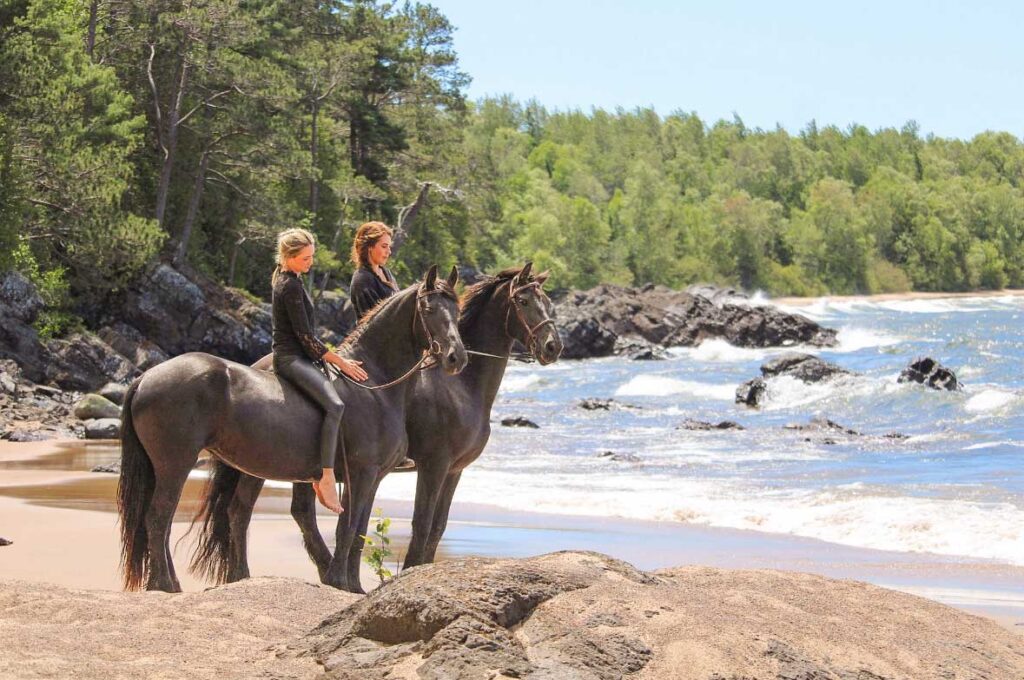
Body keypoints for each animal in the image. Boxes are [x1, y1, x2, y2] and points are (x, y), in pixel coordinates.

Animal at [116, 262, 464, 593]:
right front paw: (337, 580)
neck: (374, 385)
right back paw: (165, 583)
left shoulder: (374, 477)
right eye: (429, 309)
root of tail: (146, 377)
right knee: (159, 516)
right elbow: (347, 527)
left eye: (457, 310)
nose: (455, 357)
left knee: (221, 515)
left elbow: (360, 530)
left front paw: (353, 585)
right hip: (175, 463)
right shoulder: (362, 473)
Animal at [188, 262, 565, 585]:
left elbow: (437, 526)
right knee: (246, 512)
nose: (553, 347)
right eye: (524, 301)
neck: (461, 386)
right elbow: (421, 523)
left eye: (548, 302)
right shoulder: (433, 465)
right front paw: (409, 573)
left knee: (296, 513)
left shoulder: (454, 470)